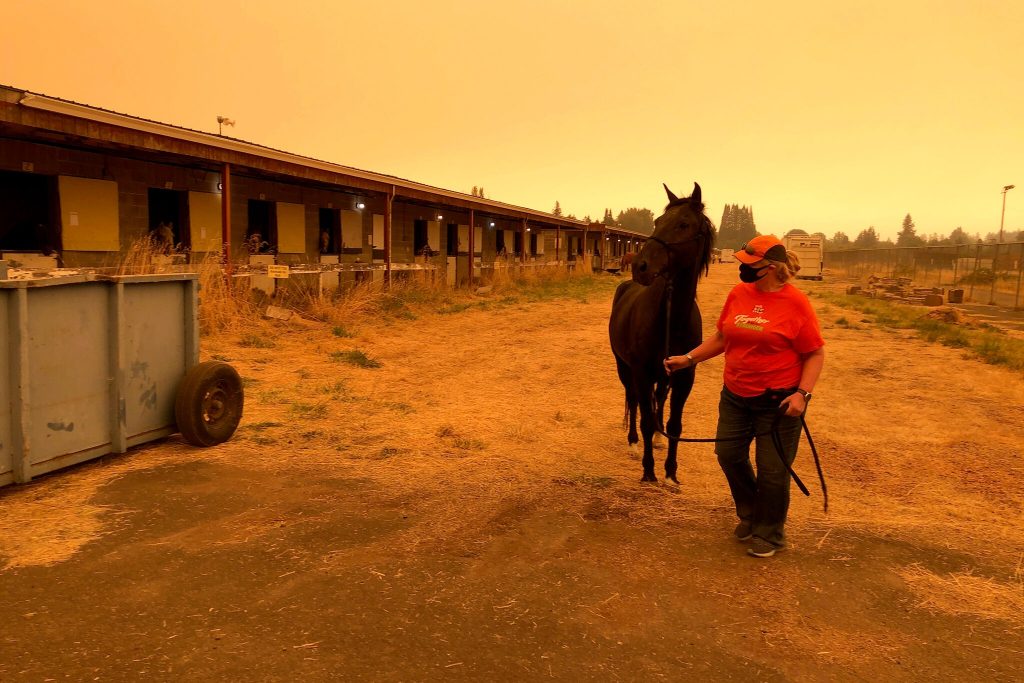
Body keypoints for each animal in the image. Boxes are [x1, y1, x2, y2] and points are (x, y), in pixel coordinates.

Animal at [606, 181, 712, 481]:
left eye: (684, 224)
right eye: (657, 221)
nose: (640, 266)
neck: (670, 320)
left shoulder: (684, 376)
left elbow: (675, 424)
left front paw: (670, 473)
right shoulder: (640, 371)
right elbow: (644, 417)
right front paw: (648, 471)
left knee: (658, 400)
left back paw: (657, 438)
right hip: (624, 368)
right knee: (633, 400)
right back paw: (633, 443)